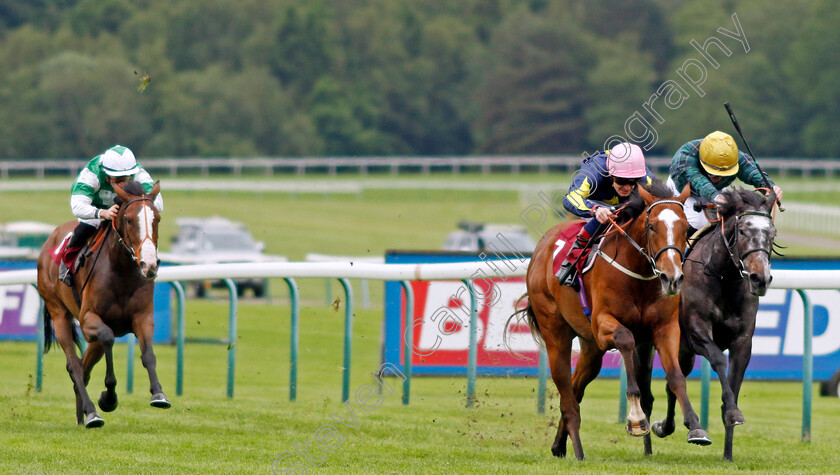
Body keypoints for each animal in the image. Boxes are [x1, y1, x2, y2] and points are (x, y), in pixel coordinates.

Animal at [37, 179, 171, 428]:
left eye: (156, 218)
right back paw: (92, 413)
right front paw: (108, 398)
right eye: (129, 219)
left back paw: (82, 416)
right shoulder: (89, 318)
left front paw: (158, 394)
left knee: (84, 366)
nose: (149, 265)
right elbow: (108, 338)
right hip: (58, 311)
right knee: (75, 364)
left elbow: (148, 354)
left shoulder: (143, 317)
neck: (121, 272)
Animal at [524, 182, 708, 462]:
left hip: (590, 348)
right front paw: (636, 418)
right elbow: (625, 340)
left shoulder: (665, 328)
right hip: (555, 332)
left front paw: (695, 427)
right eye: (651, 226)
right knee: (566, 391)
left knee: (576, 389)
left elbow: (676, 376)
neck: (639, 275)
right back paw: (578, 449)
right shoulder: (603, 325)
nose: (672, 278)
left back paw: (559, 446)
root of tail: (540, 250)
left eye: (685, 227)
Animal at [648, 187, 780, 462]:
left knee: (672, 383)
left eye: (772, 234)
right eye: (743, 231)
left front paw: (729, 446)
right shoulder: (697, 332)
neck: (724, 277)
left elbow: (734, 383)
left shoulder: (743, 342)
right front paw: (730, 412)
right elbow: (719, 359)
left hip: (683, 351)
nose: (760, 279)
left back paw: (668, 427)